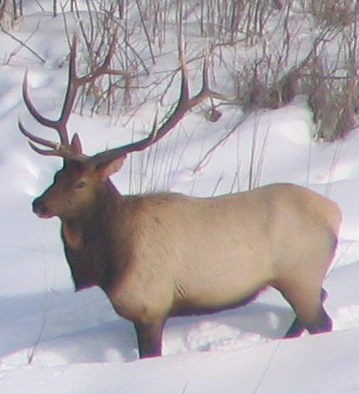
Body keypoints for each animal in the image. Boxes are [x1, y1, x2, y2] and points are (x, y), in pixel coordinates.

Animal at [18, 36, 342, 358]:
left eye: (81, 183)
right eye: (57, 176)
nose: (38, 204)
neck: (110, 262)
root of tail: (334, 213)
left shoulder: (150, 305)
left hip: (300, 275)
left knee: (321, 321)